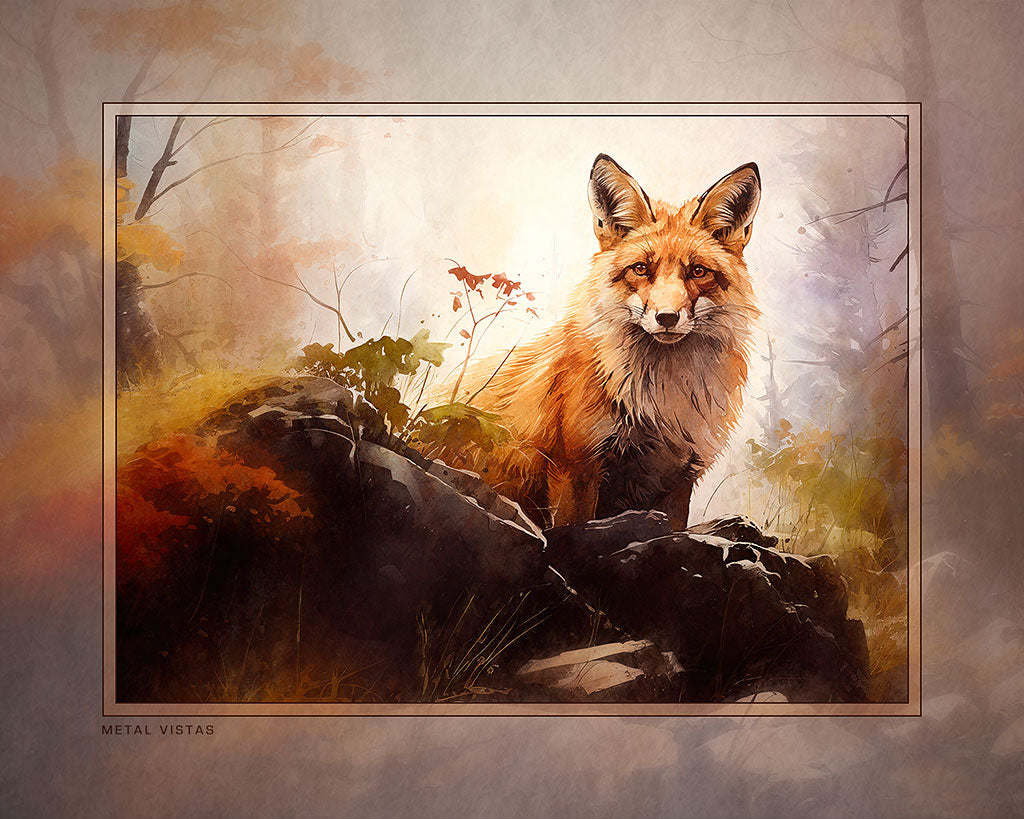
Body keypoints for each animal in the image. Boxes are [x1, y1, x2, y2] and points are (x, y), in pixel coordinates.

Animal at [461, 154, 761, 530]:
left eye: (698, 272)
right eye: (641, 269)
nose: (667, 317)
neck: (664, 404)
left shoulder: (680, 480)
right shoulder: (578, 468)